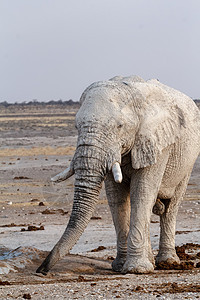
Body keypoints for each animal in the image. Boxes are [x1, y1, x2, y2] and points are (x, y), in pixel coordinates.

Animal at [36, 75, 200, 274]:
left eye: (119, 126)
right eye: (76, 126)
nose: (41, 270)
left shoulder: (157, 142)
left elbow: (142, 192)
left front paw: (136, 270)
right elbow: (117, 197)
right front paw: (121, 266)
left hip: (188, 161)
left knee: (170, 207)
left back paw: (168, 262)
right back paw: (152, 262)